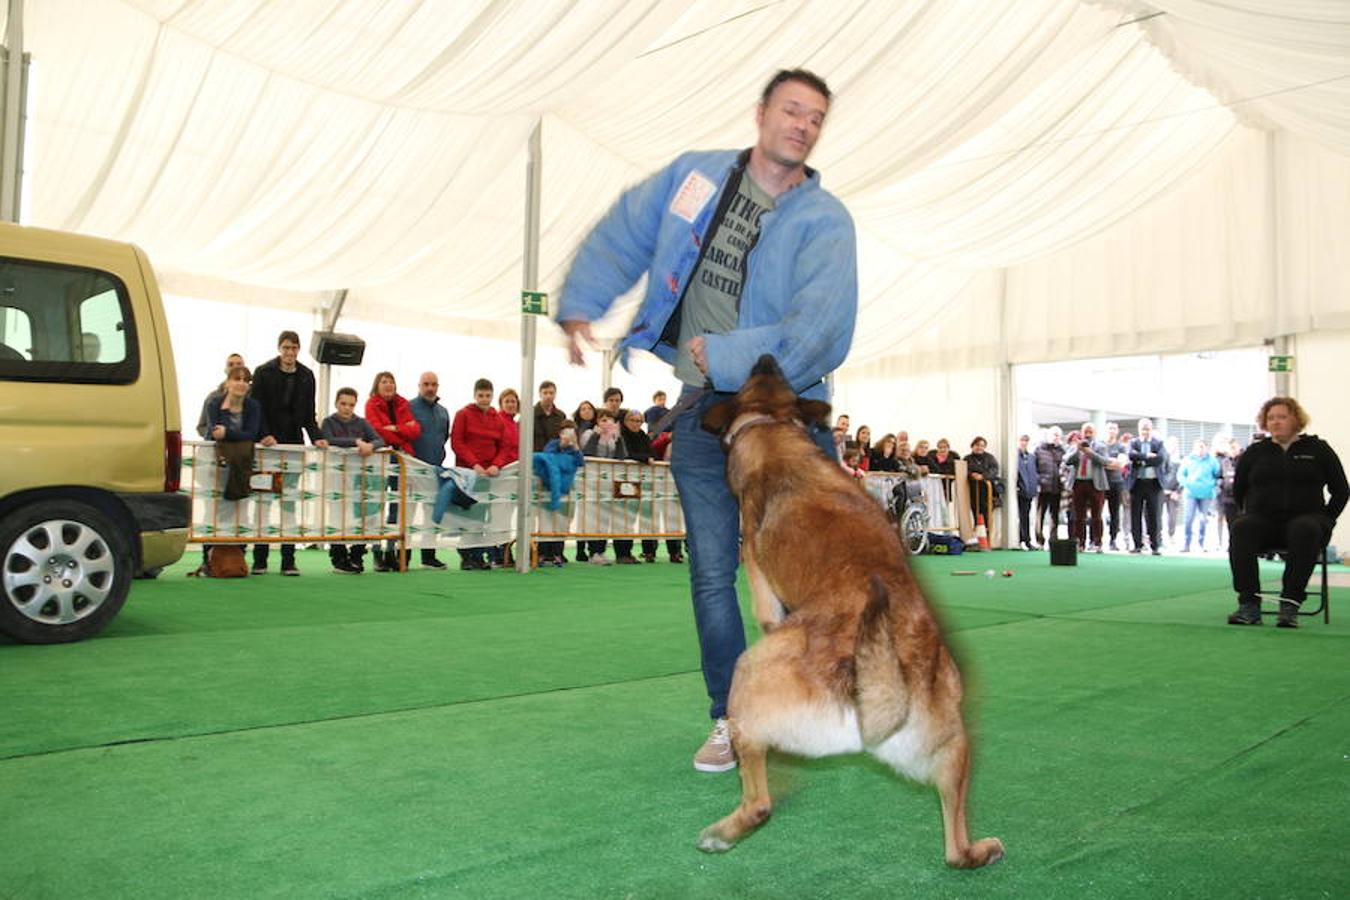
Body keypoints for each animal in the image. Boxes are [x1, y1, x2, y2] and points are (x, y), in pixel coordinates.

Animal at [696, 356, 1004, 868]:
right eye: (771, 373)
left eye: (754, 374)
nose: (767, 357)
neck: (772, 424)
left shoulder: (757, 569)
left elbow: (764, 605)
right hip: (953, 746)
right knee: (955, 848)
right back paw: (981, 850)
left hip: (751, 673)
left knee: (760, 802)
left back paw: (723, 831)